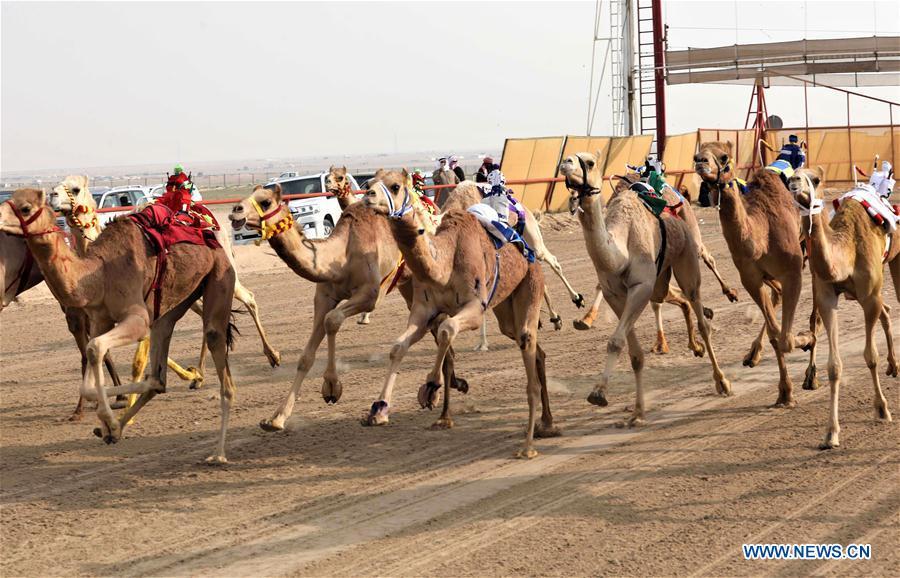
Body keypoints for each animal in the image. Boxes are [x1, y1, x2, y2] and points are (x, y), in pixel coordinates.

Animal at [0, 188, 238, 463]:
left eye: (25, 208)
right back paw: (121, 426)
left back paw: (218, 454)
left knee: (219, 355)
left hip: (221, 275)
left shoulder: (137, 318)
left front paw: (108, 420)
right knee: (158, 376)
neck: (98, 274)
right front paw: (109, 425)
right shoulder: (100, 319)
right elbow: (91, 367)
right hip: (175, 303)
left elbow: (94, 349)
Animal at [363, 169, 555, 458]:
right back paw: (547, 423)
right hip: (506, 311)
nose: (368, 196)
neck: (444, 262)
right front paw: (379, 409)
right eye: (370, 182)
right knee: (535, 350)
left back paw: (529, 446)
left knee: (528, 343)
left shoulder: (474, 308)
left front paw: (431, 389)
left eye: (395, 186)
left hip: (530, 284)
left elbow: (447, 330)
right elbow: (398, 347)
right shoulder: (423, 312)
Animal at [560, 152, 731, 426]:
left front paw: (598, 393)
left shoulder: (641, 287)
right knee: (676, 300)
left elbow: (615, 341)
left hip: (688, 256)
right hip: (661, 279)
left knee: (698, 307)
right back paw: (696, 346)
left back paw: (722, 380)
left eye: (589, 162)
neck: (620, 251)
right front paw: (637, 412)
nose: (565, 162)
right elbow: (633, 353)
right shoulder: (615, 295)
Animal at [694, 141, 814, 407]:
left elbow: (786, 338)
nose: (700, 162)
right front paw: (785, 393)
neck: (761, 236)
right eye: (698, 152)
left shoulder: (792, 272)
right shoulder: (750, 278)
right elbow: (776, 334)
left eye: (724, 157)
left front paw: (807, 339)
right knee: (776, 298)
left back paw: (811, 372)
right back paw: (752, 355)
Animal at [789, 167, 897, 448]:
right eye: (789, 176)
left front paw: (882, 409)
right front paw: (830, 434)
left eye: (815, 179)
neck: (847, 252)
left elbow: (870, 356)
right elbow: (834, 366)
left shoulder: (868, 297)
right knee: (887, 311)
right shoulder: (828, 298)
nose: (794, 181)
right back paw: (894, 366)